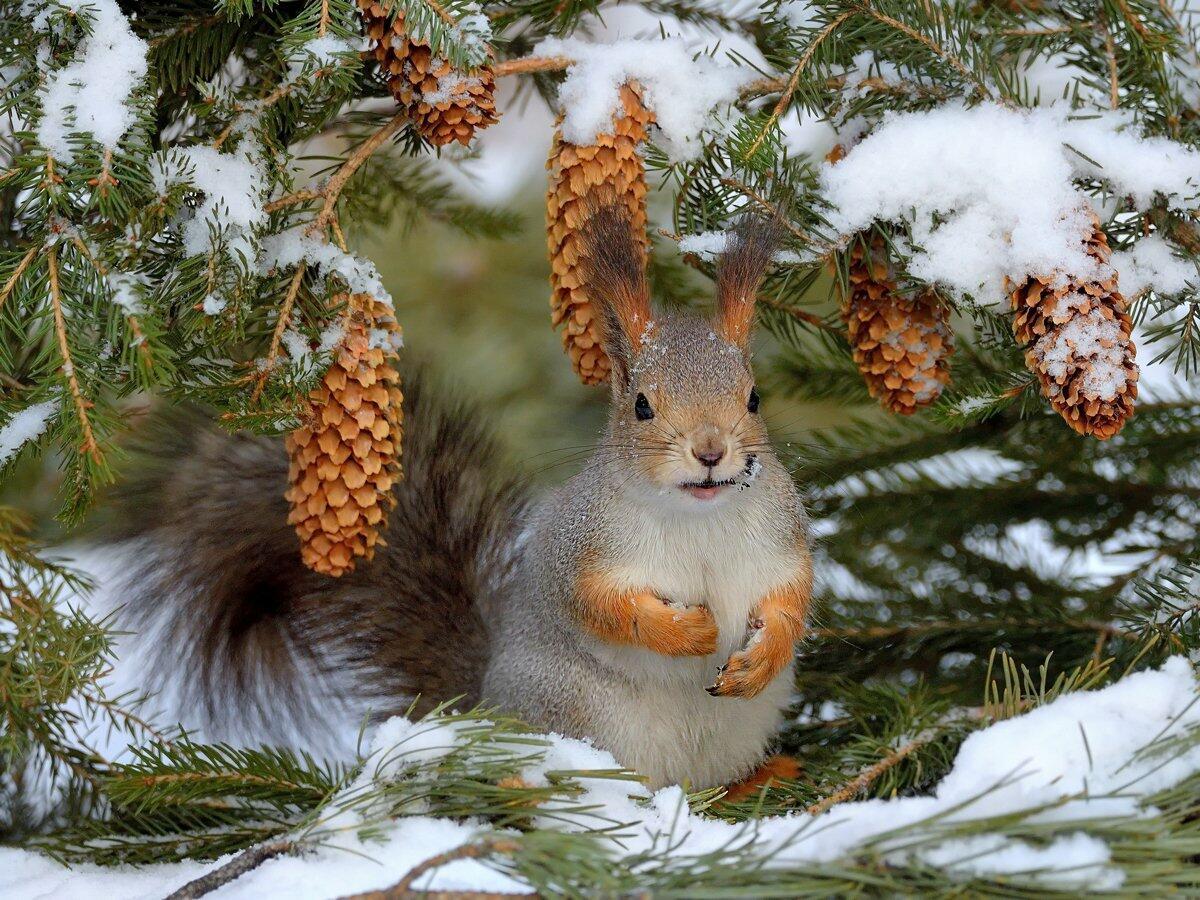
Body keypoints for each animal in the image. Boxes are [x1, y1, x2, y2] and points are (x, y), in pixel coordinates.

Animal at [108, 204, 811, 787]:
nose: (712, 452)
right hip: (574, 709)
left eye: (753, 397)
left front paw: (763, 654)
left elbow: (791, 601)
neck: (699, 519)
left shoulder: (783, 538)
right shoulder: (579, 545)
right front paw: (684, 630)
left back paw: (763, 777)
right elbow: (599, 606)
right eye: (641, 405)